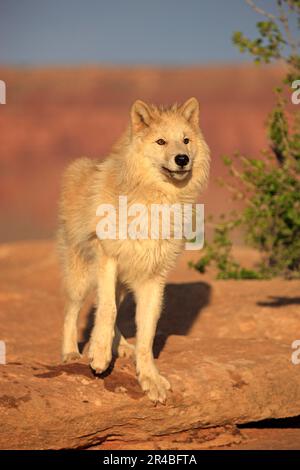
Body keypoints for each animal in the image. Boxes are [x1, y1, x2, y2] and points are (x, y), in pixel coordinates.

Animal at [57, 96, 210, 404]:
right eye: (161, 141)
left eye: (185, 140)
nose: (182, 159)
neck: (155, 202)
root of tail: (79, 166)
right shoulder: (108, 258)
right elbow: (107, 310)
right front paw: (99, 357)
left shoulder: (153, 277)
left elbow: (147, 332)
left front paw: (150, 379)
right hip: (82, 277)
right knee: (73, 311)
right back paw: (71, 353)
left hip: (120, 283)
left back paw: (121, 347)